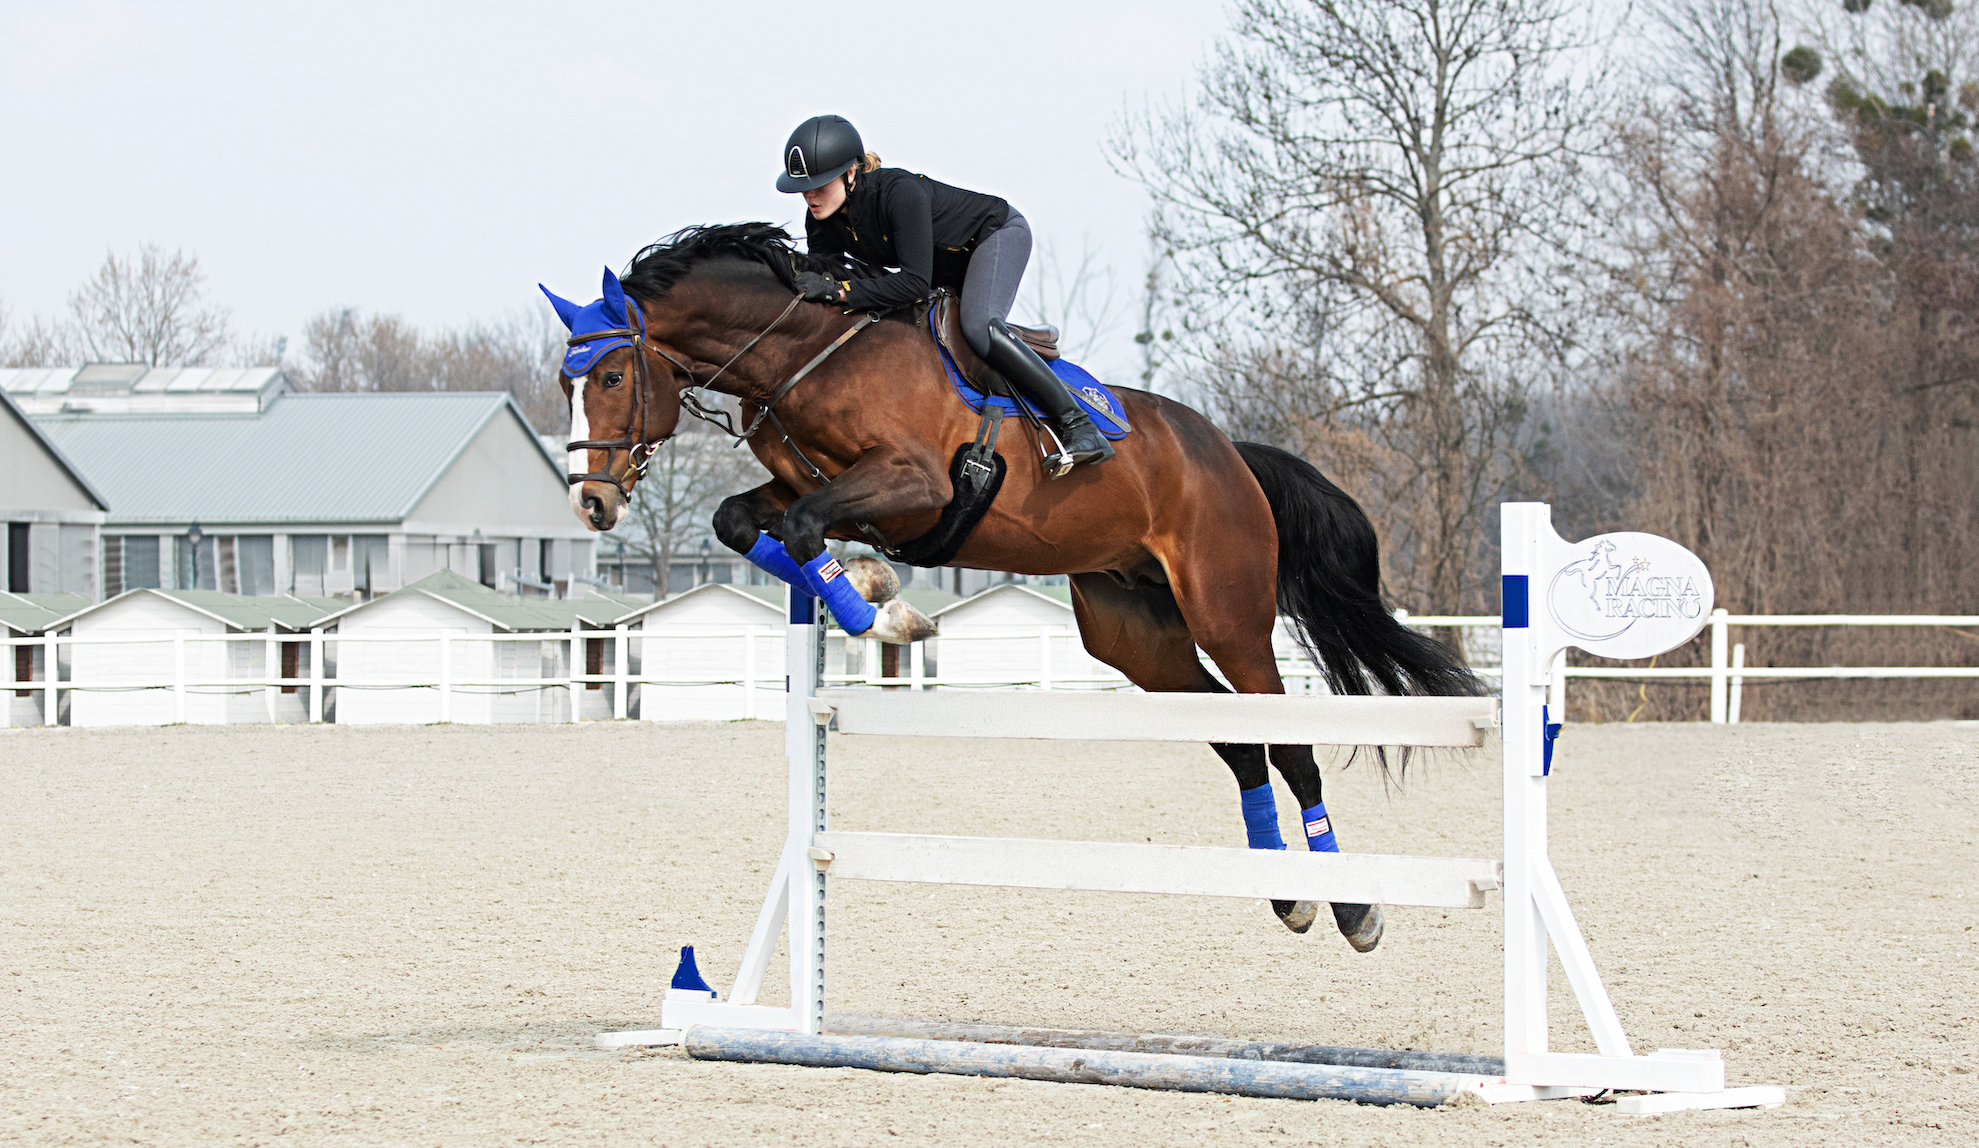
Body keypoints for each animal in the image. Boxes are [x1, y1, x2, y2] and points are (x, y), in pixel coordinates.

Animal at [545, 223, 1478, 951]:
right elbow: (747, 523)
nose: (590, 503)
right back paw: (1286, 896)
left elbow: (809, 527)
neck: (804, 353)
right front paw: (880, 594)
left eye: (614, 378)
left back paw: (1353, 909)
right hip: (1136, 633)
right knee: (1238, 743)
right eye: (566, 383)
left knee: (1287, 745)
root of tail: (1230, 455)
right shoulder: (801, 486)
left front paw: (886, 615)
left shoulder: (914, 483)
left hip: (1229, 614)